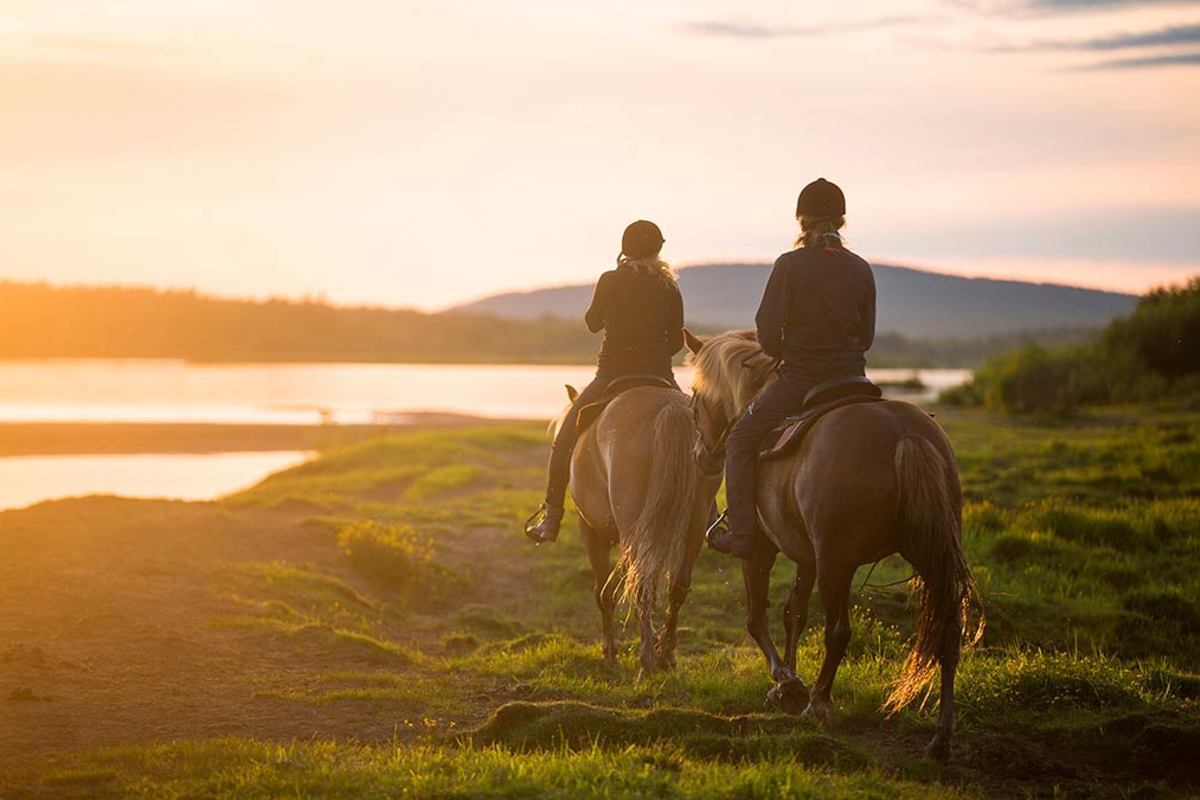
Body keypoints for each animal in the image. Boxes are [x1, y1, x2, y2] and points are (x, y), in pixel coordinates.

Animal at [554, 381, 715, 676]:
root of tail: (670, 407)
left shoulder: (591, 533)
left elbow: (604, 592)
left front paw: (610, 652)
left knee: (641, 585)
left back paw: (647, 661)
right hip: (695, 521)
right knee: (678, 584)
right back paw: (665, 656)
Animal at [686, 328, 984, 762]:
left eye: (695, 395)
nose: (701, 457)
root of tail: (905, 435)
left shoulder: (762, 547)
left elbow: (757, 618)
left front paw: (787, 682)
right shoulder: (806, 556)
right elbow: (794, 614)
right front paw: (786, 686)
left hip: (836, 564)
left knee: (838, 632)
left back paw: (819, 704)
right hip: (931, 557)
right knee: (947, 632)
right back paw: (941, 737)